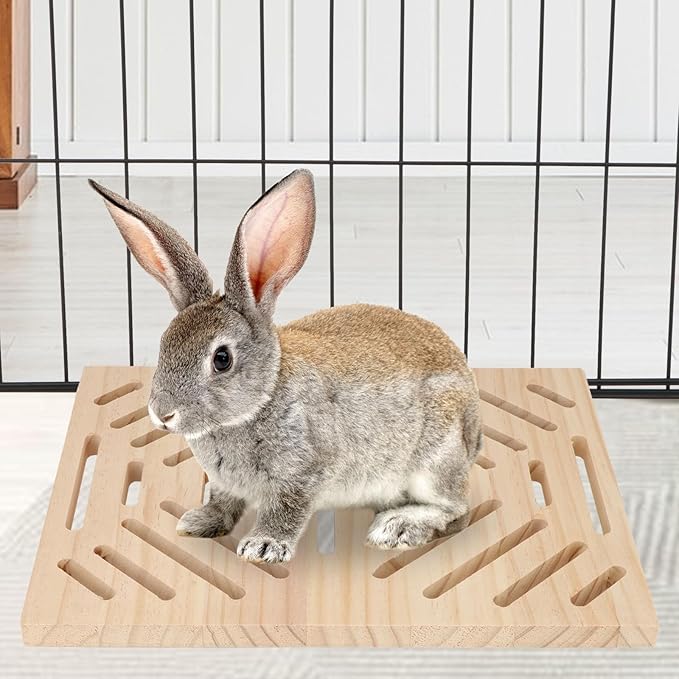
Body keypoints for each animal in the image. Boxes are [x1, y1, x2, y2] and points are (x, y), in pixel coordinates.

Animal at [89, 169, 481, 564]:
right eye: (163, 344)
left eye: (221, 359)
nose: (163, 413)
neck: (263, 397)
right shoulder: (225, 484)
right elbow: (223, 502)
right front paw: (199, 522)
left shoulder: (304, 472)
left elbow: (285, 509)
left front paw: (263, 546)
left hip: (433, 462)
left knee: (456, 510)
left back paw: (397, 527)